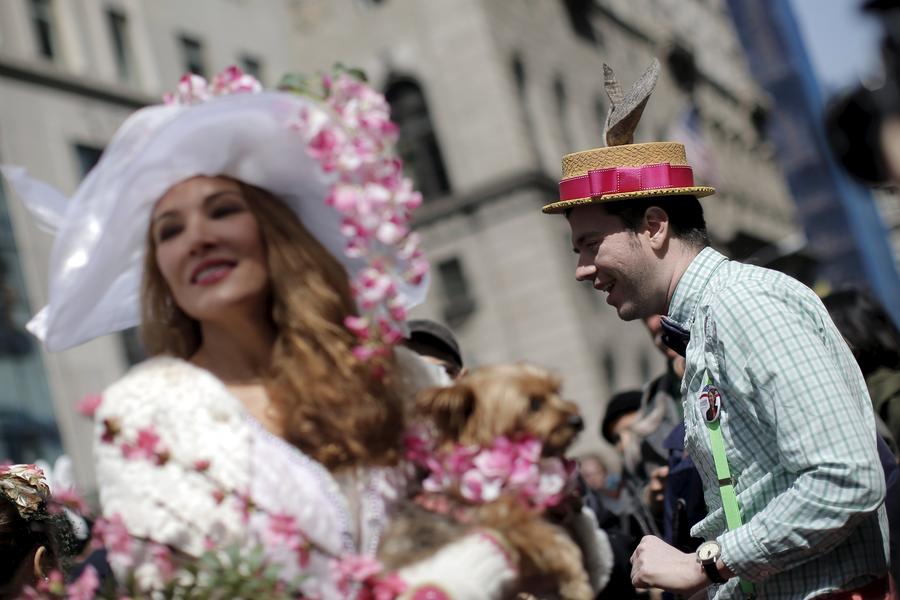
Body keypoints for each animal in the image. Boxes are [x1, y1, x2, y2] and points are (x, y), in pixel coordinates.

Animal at [378, 364, 596, 600]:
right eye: (534, 404)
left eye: (557, 392)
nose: (578, 421)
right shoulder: (505, 516)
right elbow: (560, 548)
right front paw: (578, 585)